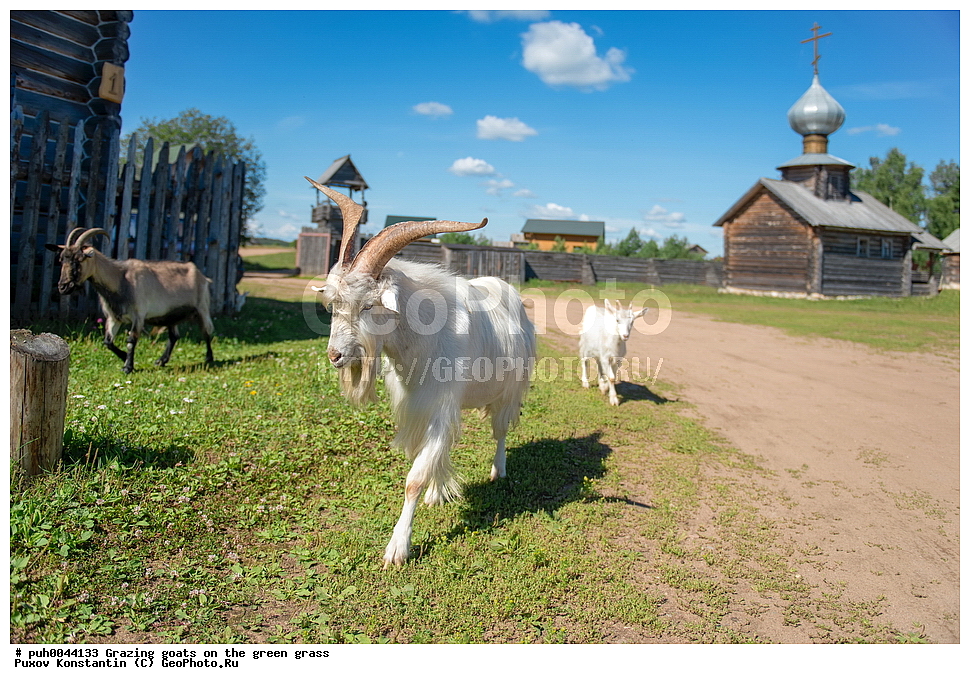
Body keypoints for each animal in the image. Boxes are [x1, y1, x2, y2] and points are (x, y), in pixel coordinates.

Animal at [45, 227, 215, 374]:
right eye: (61, 259)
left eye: (79, 260)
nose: (63, 287)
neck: (121, 279)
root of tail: (203, 276)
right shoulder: (114, 317)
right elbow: (108, 342)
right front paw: (123, 357)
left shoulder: (138, 315)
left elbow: (131, 340)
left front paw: (128, 367)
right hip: (170, 315)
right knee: (174, 336)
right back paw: (161, 361)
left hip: (202, 308)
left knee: (206, 331)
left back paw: (209, 358)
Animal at [305, 177, 535, 568]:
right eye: (333, 304)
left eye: (369, 305)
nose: (335, 355)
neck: (424, 341)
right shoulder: (418, 405)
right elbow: (427, 457)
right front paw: (436, 492)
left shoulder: (441, 405)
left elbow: (413, 478)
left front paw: (397, 548)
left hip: (510, 392)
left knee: (501, 432)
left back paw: (498, 471)